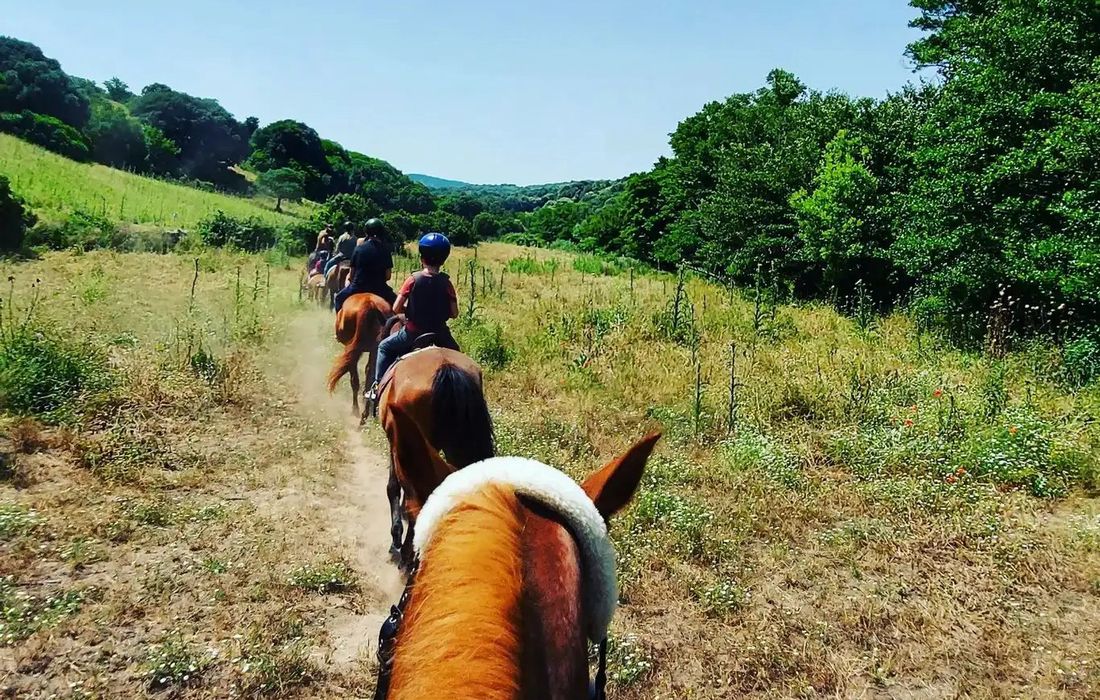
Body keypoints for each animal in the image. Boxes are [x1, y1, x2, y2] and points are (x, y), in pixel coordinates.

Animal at [377, 342, 494, 566]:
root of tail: (446, 368)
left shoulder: (395, 441)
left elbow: (393, 487)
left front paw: (395, 539)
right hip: (458, 446)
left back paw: (408, 556)